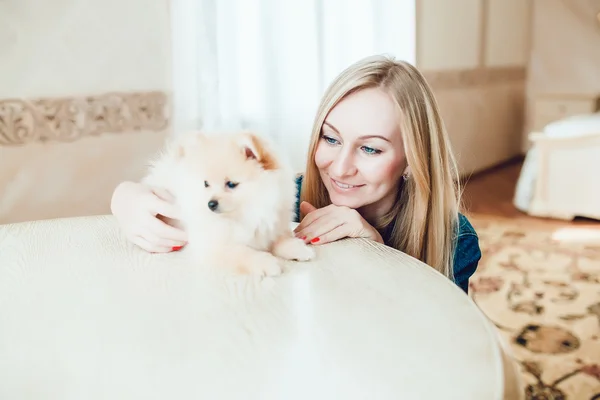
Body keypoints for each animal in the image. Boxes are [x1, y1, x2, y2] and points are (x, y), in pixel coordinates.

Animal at [140, 130, 314, 276]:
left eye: (231, 184)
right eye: (206, 184)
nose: (210, 203)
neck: (247, 213)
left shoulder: (272, 226)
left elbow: (280, 240)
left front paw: (297, 248)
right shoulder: (213, 244)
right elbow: (242, 252)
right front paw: (266, 262)